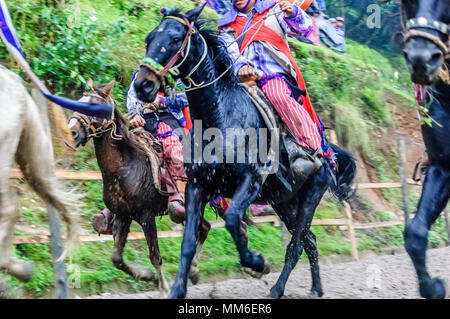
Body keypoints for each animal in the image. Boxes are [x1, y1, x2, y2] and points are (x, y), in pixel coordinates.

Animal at [133, 5, 356, 300]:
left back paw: (277, 289)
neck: (220, 117)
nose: (142, 85)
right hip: (284, 202)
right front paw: (178, 289)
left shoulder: (250, 181)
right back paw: (316, 287)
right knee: (310, 241)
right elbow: (189, 241)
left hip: (310, 197)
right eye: (149, 39)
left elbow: (231, 219)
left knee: (297, 245)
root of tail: (328, 154)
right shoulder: (197, 186)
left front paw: (257, 263)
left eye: (175, 38)